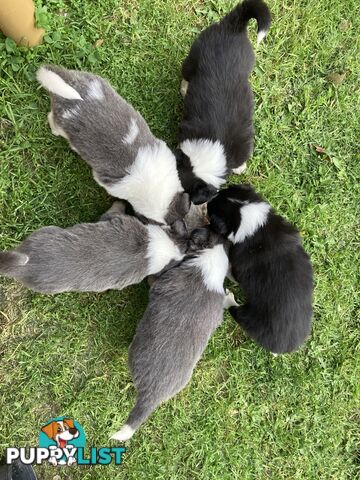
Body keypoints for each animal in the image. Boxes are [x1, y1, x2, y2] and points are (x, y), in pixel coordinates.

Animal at [35, 64, 190, 227]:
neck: (154, 184)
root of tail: (70, 83)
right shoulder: (107, 183)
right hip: (60, 123)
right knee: (51, 119)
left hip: (95, 80)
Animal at [207, 184, 314, 352]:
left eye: (211, 216)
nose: (206, 201)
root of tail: (286, 346)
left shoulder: (239, 265)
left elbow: (233, 271)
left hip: (249, 318)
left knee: (235, 311)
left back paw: (228, 299)